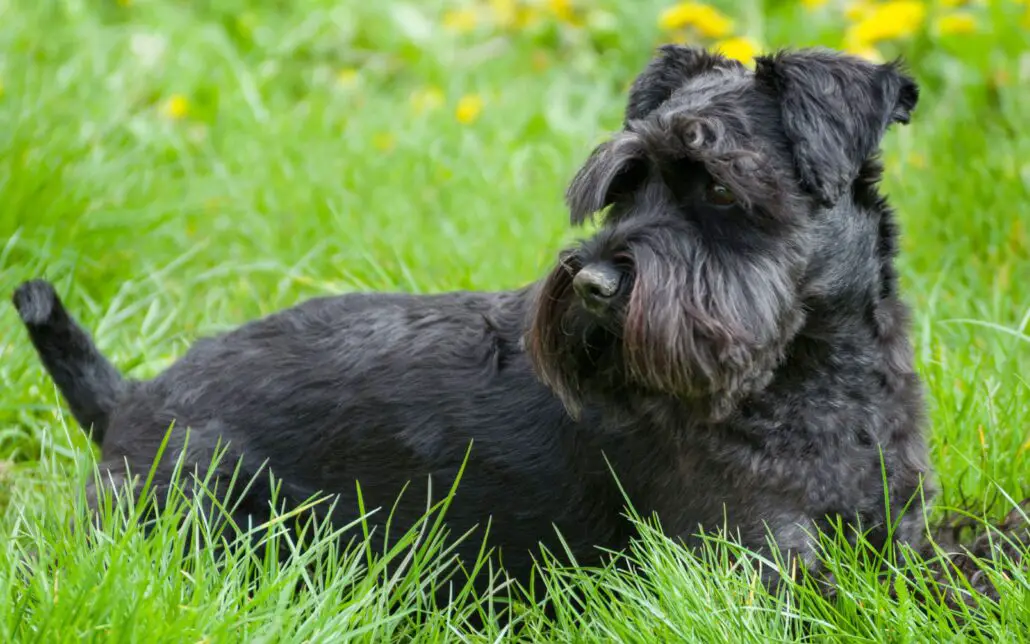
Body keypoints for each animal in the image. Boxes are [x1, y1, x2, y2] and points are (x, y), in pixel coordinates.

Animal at [14, 46, 935, 593]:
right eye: (624, 186)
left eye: (716, 183)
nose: (594, 281)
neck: (810, 374)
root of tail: (129, 401)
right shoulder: (750, 556)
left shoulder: (899, 527)